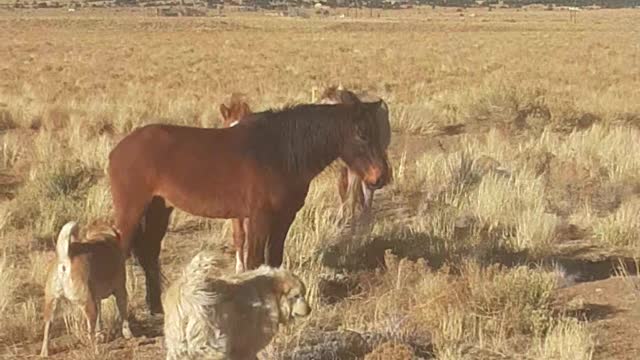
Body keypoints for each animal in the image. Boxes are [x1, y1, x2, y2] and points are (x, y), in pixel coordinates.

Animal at [40, 221, 132, 356]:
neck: (102, 234)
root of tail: (66, 259)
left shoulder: (97, 298)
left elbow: (100, 319)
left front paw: (101, 335)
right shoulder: (120, 291)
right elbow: (123, 314)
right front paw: (127, 334)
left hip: (51, 306)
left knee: (47, 331)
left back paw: (44, 352)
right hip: (88, 305)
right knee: (90, 334)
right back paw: (95, 352)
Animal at [164, 253, 312, 360]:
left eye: (304, 294)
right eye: (297, 296)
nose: (310, 310)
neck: (270, 291)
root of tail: (188, 291)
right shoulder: (247, 347)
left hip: (179, 346)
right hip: (213, 347)